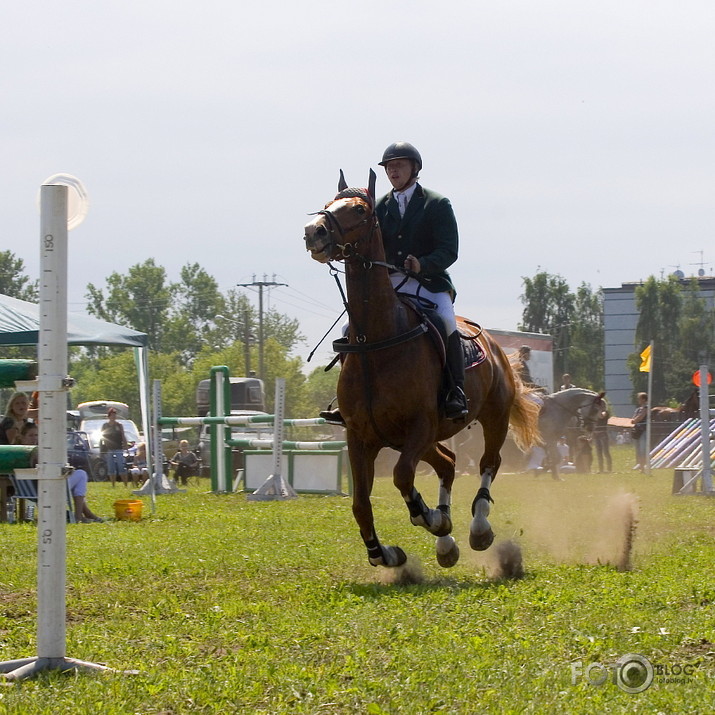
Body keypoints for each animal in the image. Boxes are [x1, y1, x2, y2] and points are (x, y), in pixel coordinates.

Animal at [304, 173, 544, 572]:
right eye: (327, 203)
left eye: (359, 210)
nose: (313, 232)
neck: (376, 341)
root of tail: (496, 346)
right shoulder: (361, 436)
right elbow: (360, 503)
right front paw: (383, 552)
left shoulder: (420, 426)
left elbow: (402, 476)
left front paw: (428, 517)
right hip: (420, 438)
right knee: (448, 464)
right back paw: (446, 543)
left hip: (492, 417)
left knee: (488, 463)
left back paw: (476, 529)